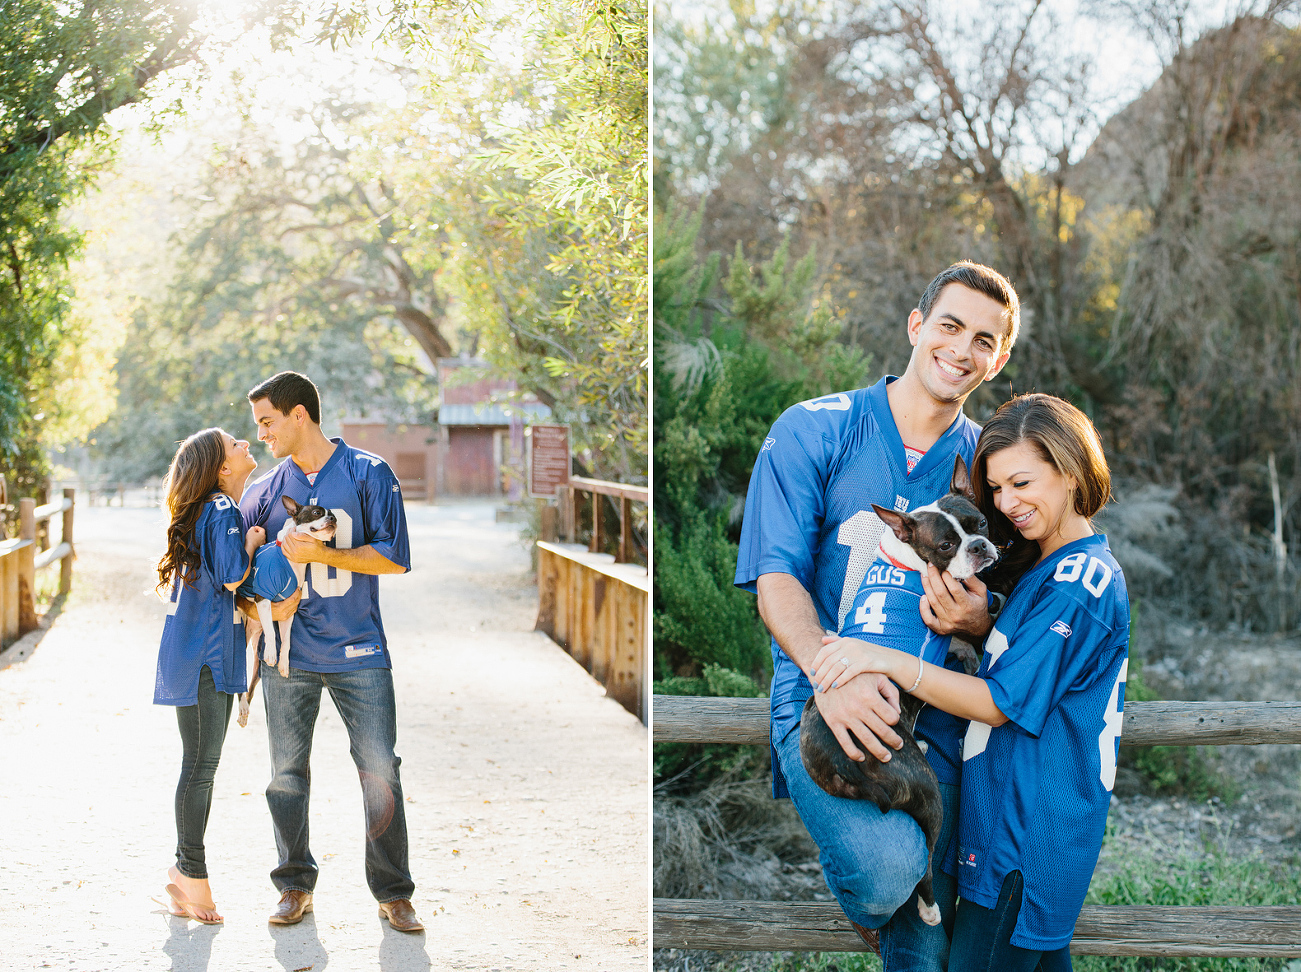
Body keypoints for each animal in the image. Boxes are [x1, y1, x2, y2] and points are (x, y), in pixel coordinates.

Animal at [796, 455, 999, 926]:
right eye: (946, 546)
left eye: (980, 522)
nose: (979, 547)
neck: (910, 559)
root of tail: (843, 759)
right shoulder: (941, 632)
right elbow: (960, 644)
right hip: (928, 794)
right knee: (924, 859)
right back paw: (929, 908)